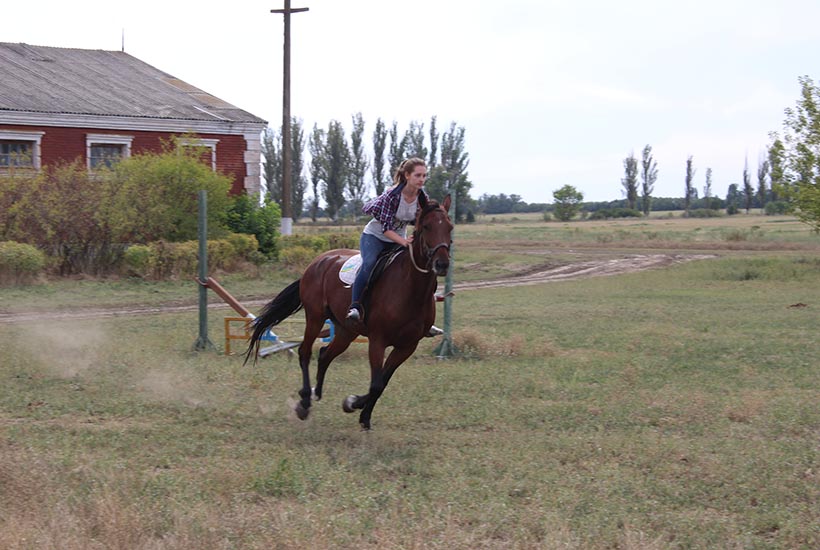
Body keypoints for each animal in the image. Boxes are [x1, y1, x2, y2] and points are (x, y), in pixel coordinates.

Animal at [245, 194, 453, 430]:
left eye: (450, 227)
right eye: (426, 226)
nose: (442, 264)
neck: (410, 288)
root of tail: (317, 262)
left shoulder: (407, 346)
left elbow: (382, 383)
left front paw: (360, 411)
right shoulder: (378, 340)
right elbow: (376, 383)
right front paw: (355, 406)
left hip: (346, 330)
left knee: (325, 355)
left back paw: (316, 393)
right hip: (315, 317)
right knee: (305, 352)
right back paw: (305, 401)